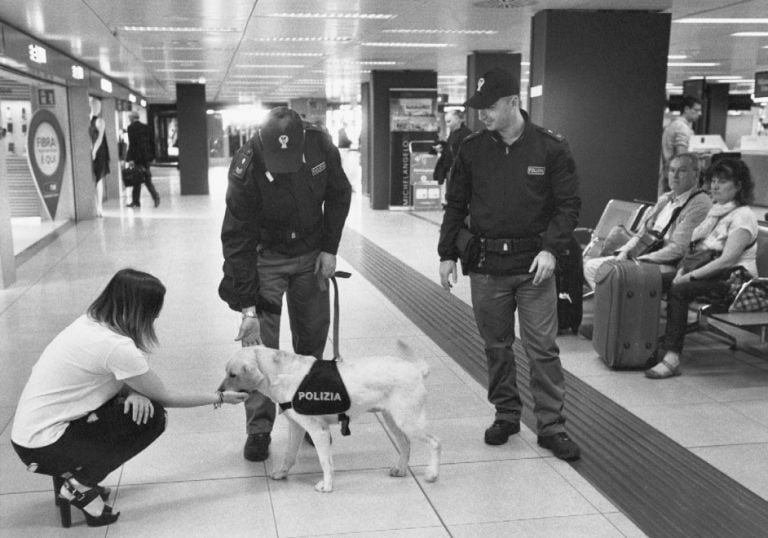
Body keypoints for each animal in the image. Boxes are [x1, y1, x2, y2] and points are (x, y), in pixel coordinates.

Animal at [219, 344, 440, 490]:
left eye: (232, 374)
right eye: (226, 372)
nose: (219, 391)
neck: (282, 374)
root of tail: (417, 370)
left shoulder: (318, 431)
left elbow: (325, 461)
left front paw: (327, 485)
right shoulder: (296, 427)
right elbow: (289, 455)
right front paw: (282, 473)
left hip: (408, 421)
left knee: (435, 442)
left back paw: (432, 473)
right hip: (393, 420)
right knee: (406, 445)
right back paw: (401, 469)